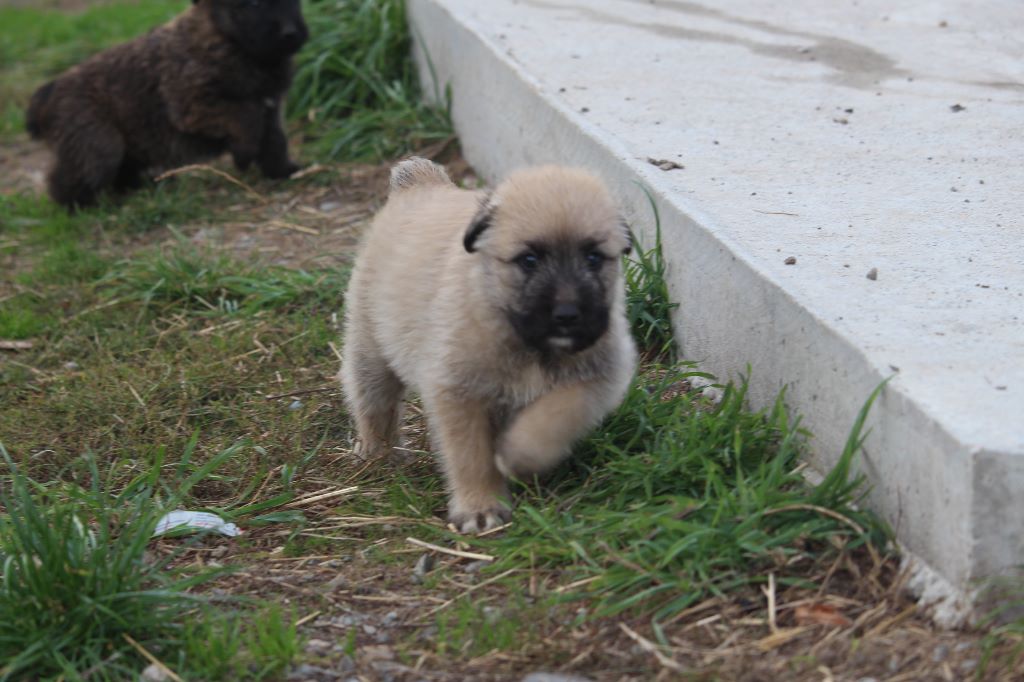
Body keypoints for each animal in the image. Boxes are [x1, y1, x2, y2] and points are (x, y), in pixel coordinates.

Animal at [24, 0, 303, 209]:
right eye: (254, 3)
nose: (291, 33)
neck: (225, 38)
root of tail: (48, 92)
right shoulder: (193, 106)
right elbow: (246, 116)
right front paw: (244, 155)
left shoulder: (271, 107)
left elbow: (274, 140)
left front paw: (283, 170)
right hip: (99, 144)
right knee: (65, 180)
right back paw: (81, 208)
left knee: (121, 172)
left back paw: (144, 186)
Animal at [339, 159, 634, 532]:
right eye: (529, 260)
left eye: (594, 257)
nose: (568, 315)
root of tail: (420, 183)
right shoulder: (458, 393)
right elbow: (471, 456)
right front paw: (480, 506)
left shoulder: (596, 378)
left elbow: (556, 416)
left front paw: (518, 456)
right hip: (371, 352)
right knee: (374, 405)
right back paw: (378, 454)